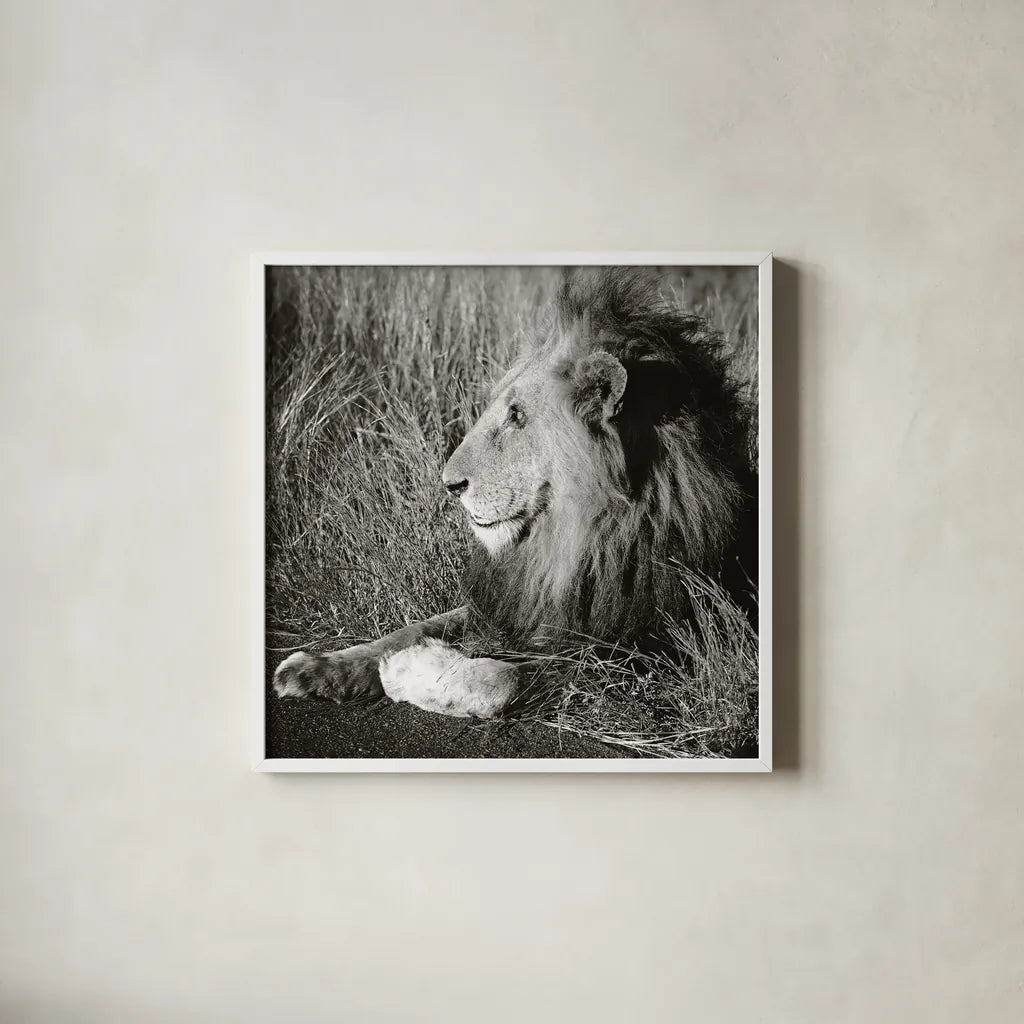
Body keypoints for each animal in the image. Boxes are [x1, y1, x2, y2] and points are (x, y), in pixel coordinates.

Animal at [273, 269, 755, 718]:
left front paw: (406, 668)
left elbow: (502, 678)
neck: (579, 539)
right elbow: (410, 628)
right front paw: (319, 665)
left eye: (517, 415)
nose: (449, 485)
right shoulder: (509, 603)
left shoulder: (639, 653)